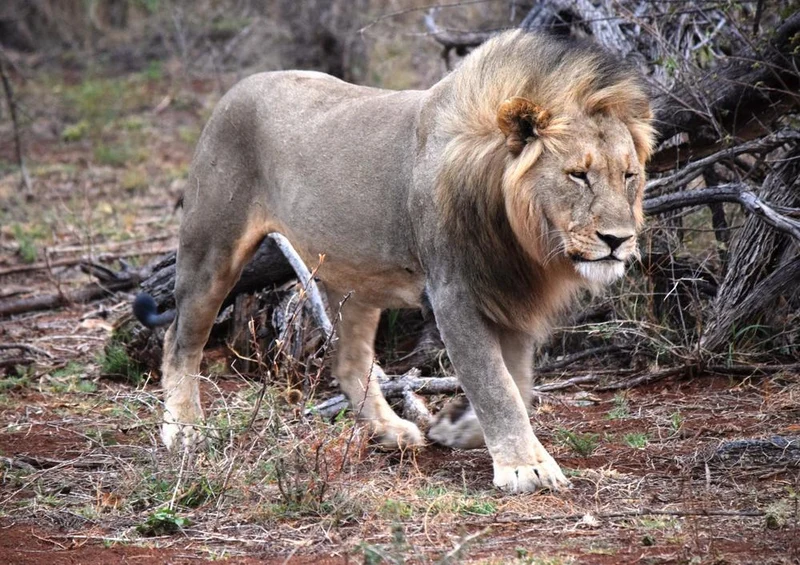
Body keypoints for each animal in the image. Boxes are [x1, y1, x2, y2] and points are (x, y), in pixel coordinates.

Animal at [133, 30, 654, 493]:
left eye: (629, 175)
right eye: (578, 175)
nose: (618, 239)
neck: (518, 231)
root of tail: (236, 89)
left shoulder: (510, 293)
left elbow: (519, 381)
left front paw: (460, 426)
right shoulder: (453, 294)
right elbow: (495, 383)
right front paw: (526, 468)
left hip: (354, 281)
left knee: (348, 361)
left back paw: (390, 430)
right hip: (212, 247)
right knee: (179, 339)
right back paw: (183, 430)